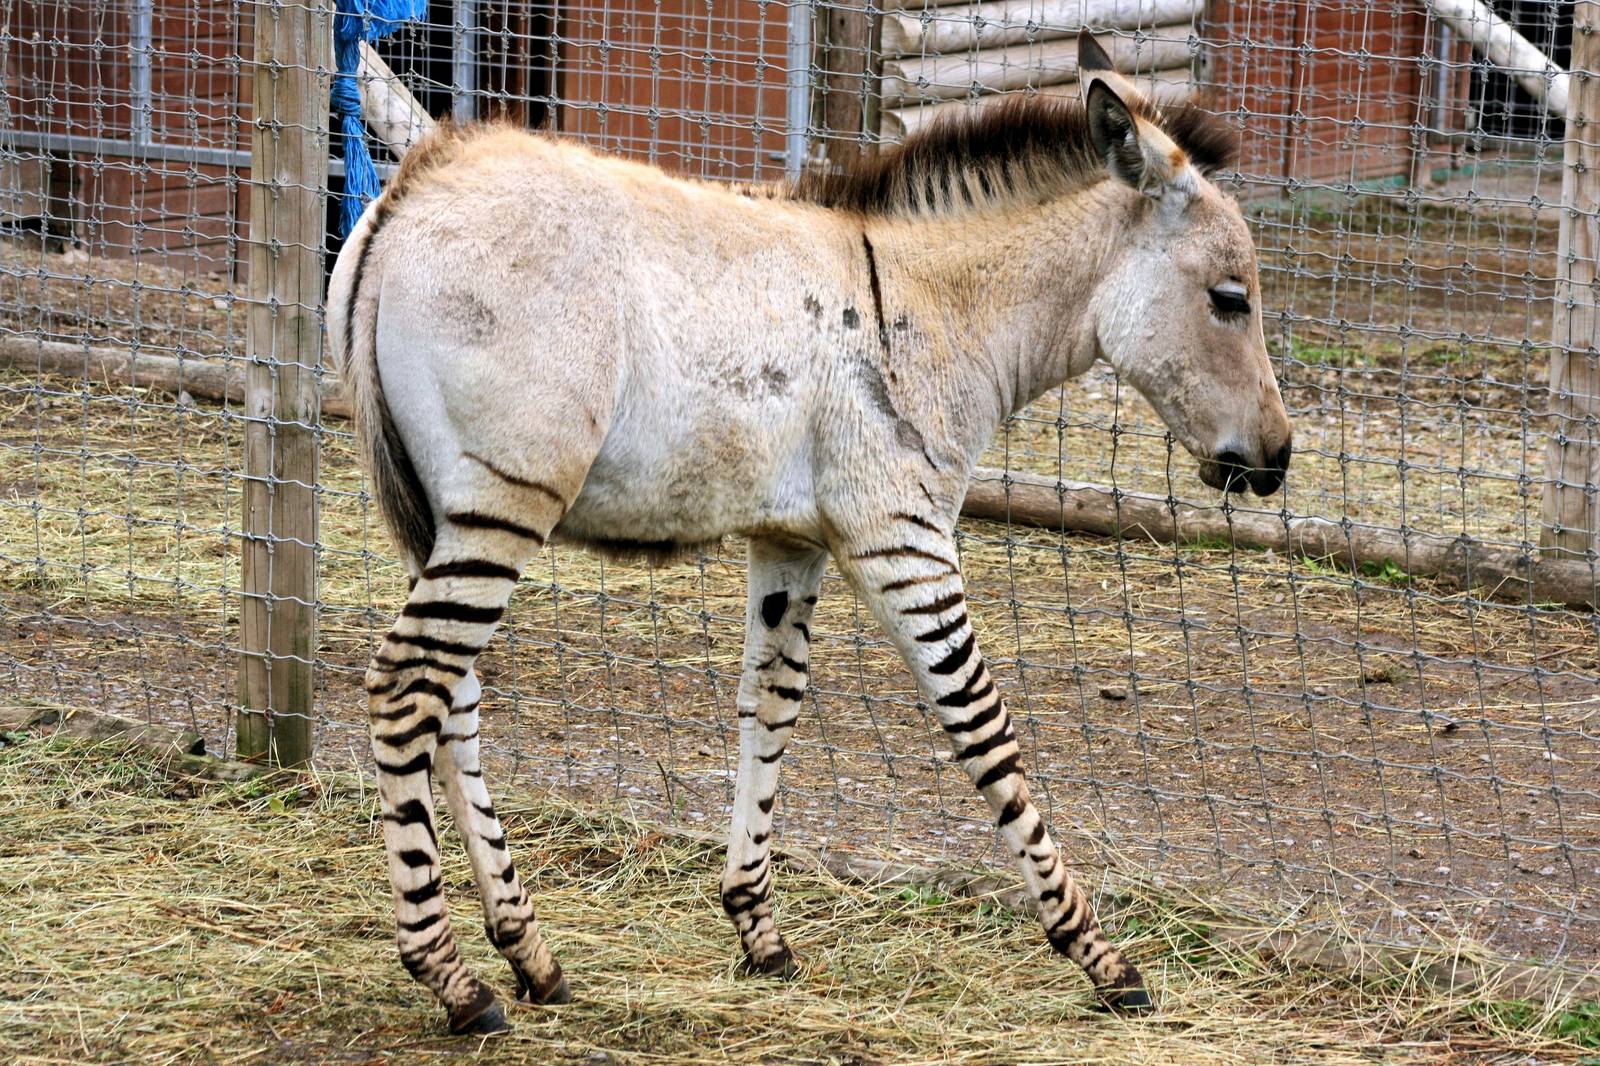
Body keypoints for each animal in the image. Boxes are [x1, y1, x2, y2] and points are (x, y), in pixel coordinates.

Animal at [326, 33, 1293, 1035]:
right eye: (1231, 299)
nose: (1278, 460)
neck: (935, 310)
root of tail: (416, 185)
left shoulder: (794, 542)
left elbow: (771, 706)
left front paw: (757, 928)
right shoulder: (902, 538)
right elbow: (984, 729)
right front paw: (1102, 958)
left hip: (445, 514)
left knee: (453, 702)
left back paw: (530, 955)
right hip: (507, 496)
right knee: (405, 690)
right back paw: (453, 978)